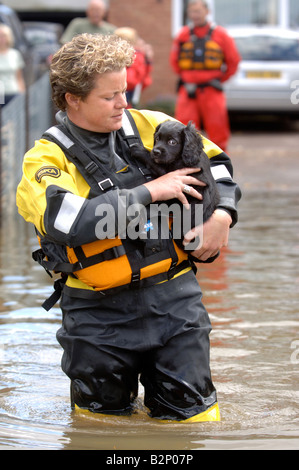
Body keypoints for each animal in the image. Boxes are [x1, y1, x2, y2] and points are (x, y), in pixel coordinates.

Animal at [131, 119, 220, 255]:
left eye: (172, 142)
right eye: (157, 138)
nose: (155, 152)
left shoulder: (172, 172)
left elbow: (154, 163)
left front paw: (139, 150)